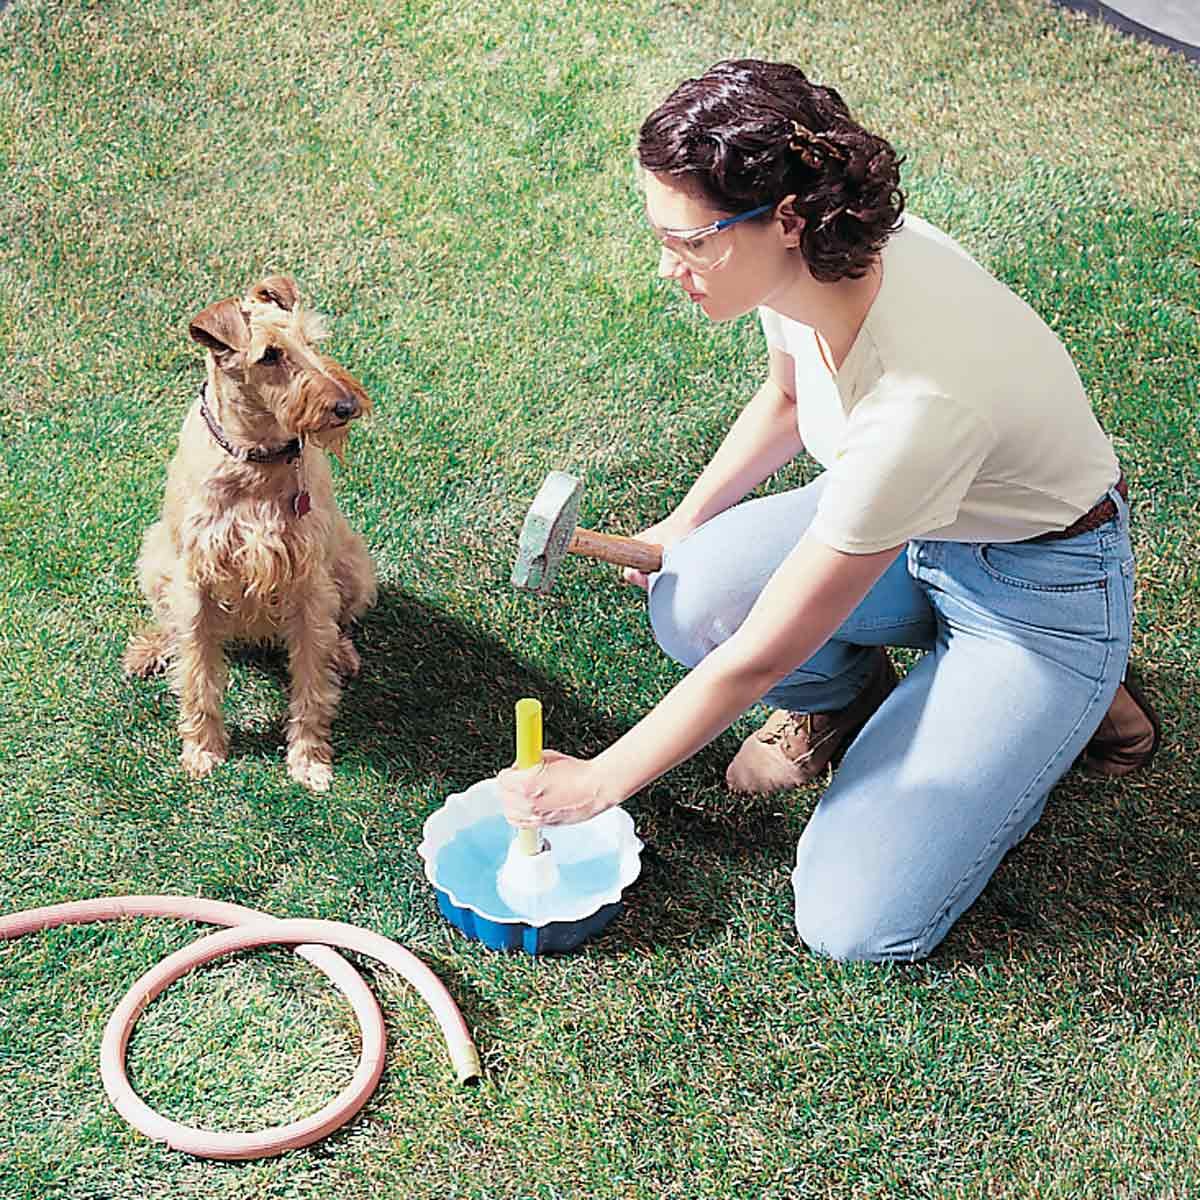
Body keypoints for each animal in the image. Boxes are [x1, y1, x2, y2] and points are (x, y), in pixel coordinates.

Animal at [125, 274, 374, 792]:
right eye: (270, 356)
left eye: (311, 341)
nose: (346, 406)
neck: (257, 457)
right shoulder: (195, 581)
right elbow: (197, 676)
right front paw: (203, 750)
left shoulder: (307, 582)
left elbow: (312, 682)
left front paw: (309, 760)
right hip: (153, 558)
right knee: (169, 625)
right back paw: (152, 649)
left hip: (355, 566)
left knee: (338, 624)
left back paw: (342, 652)